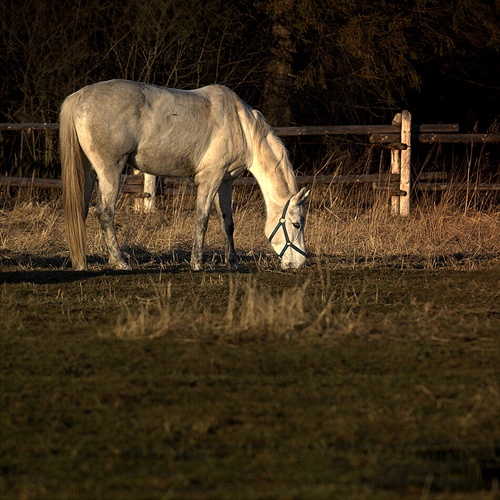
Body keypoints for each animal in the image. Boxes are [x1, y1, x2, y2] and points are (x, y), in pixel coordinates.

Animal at [58, 80, 308, 272]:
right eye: (296, 224)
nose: (300, 263)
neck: (242, 126)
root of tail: (80, 96)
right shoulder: (210, 178)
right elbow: (202, 218)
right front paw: (197, 262)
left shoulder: (225, 181)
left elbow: (227, 222)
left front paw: (233, 262)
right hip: (110, 170)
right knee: (105, 212)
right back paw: (120, 262)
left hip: (88, 172)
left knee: (80, 210)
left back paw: (81, 262)